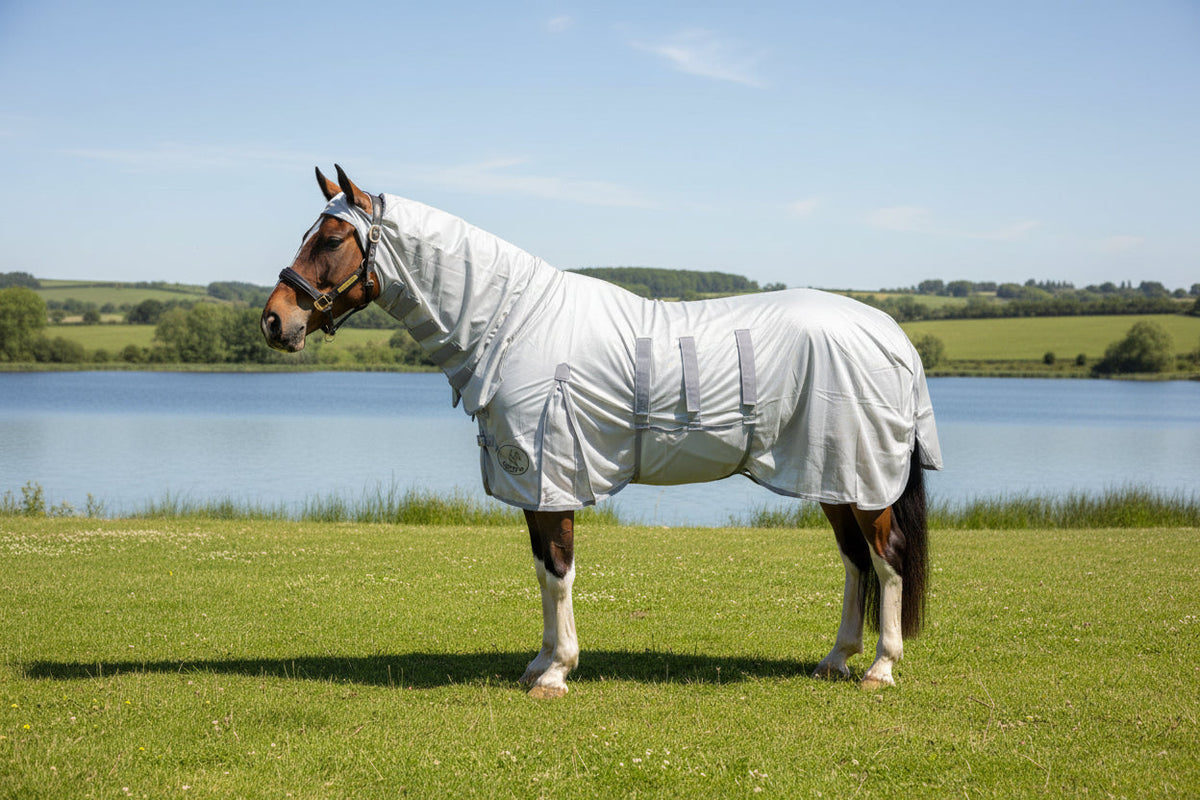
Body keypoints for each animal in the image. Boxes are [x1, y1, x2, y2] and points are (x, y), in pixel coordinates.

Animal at [261, 166, 943, 698]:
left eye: (330, 239)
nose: (274, 321)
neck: (516, 323)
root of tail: (891, 334)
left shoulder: (551, 474)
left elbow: (559, 570)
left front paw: (557, 672)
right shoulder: (531, 483)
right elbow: (543, 571)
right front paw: (538, 662)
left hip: (863, 477)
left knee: (886, 559)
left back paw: (880, 668)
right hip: (834, 475)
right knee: (855, 561)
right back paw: (835, 660)